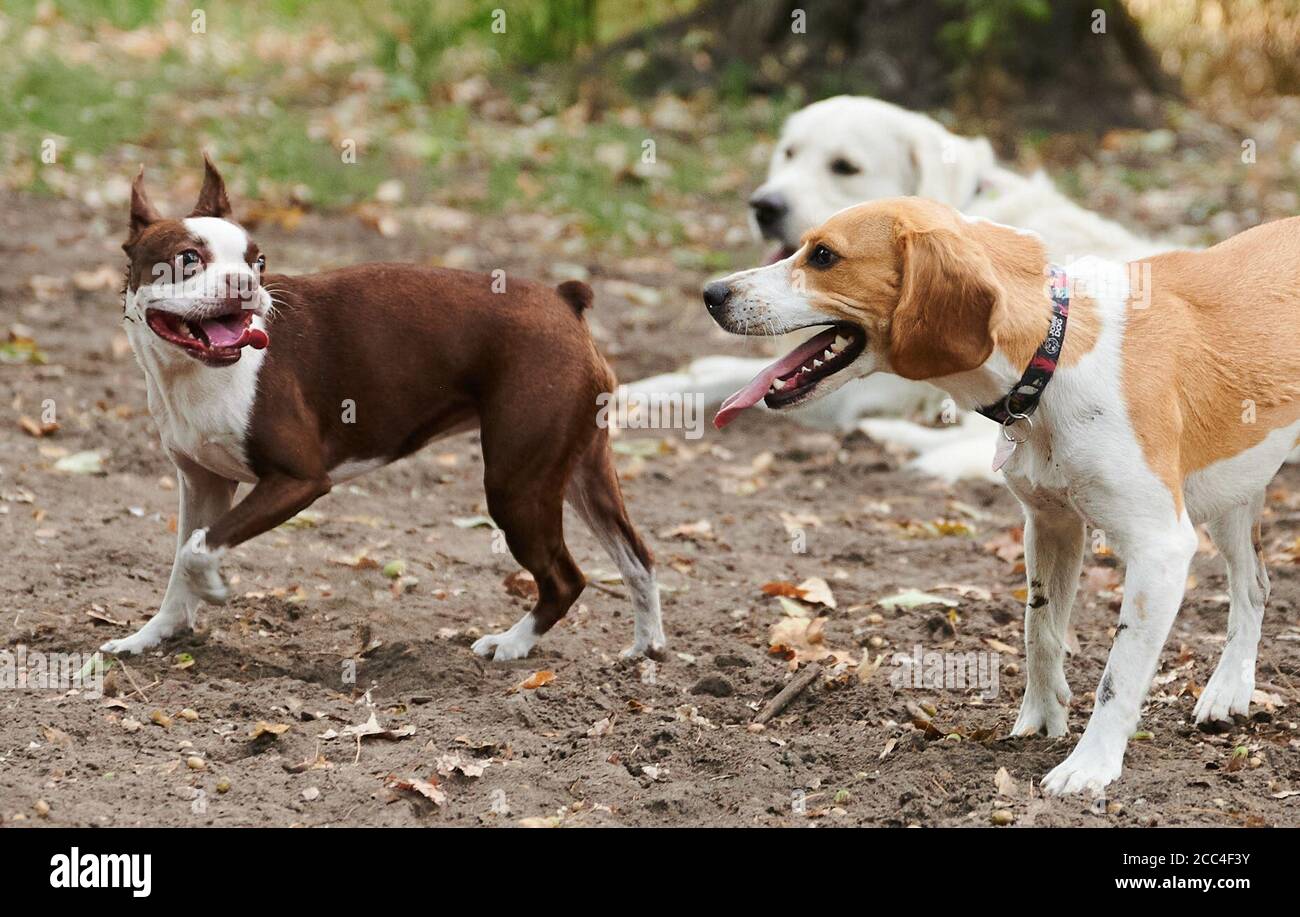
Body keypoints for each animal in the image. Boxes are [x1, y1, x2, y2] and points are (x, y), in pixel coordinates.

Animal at [102, 155, 665, 658]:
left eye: (258, 262)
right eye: (187, 260)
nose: (246, 283)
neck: (190, 373)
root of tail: (563, 300)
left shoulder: (299, 478)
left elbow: (198, 548)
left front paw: (214, 589)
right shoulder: (203, 482)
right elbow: (182, 555)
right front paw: (152, 636)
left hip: (516, 485)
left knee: (567, 578)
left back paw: (512, 644)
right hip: (580, 467)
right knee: (637, 555)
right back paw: (646, 647)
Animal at [624, 94, 1175, 478]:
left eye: (844, 167)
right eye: (789, 153)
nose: (763, 205)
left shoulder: (865, 391)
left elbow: (717, 381)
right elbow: (719, 371)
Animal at [702, 195, 1300, 796]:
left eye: (824, 255)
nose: (711, 293)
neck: (1052, 351)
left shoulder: (1161, 549)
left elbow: (1117, 675)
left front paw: (1091, 766)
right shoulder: (1050, 524)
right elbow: (1040, 631)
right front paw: (1040, 719)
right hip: (1233, 490)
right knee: (1254, 586)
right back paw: (1228, 691)